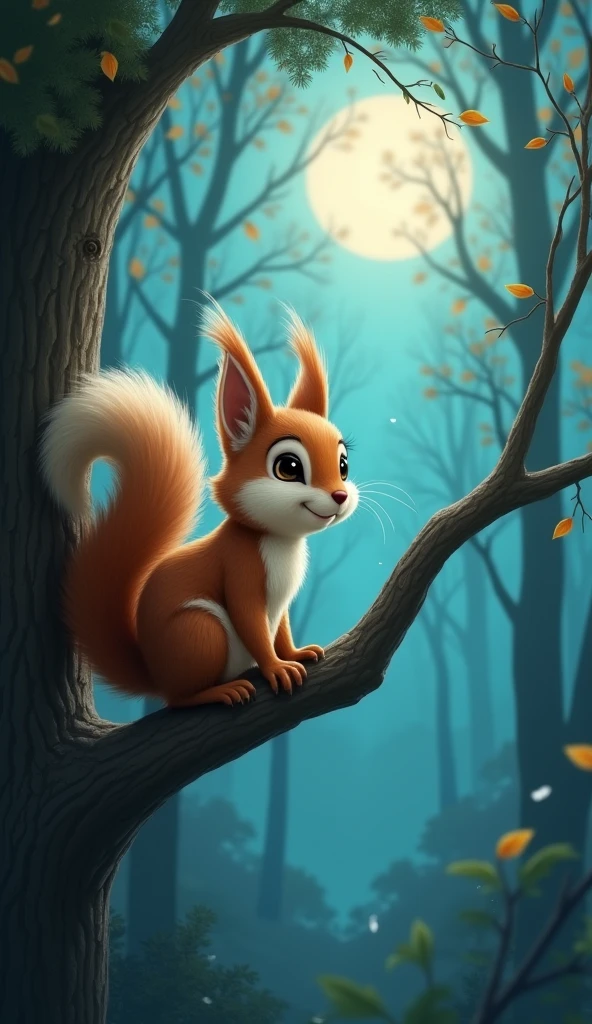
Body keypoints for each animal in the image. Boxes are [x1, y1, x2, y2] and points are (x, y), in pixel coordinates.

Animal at [40, 302, 359, 708]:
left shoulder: (283, 603)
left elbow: (282, 628)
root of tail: (155, 673)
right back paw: (219, 691)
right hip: (199, 631)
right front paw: (277, 668)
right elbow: (252, 623)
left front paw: (295, 653)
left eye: (343, 466)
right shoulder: (240, 569)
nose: (340, 496)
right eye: (288, 467)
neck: (280, 540)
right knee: (180, 698)